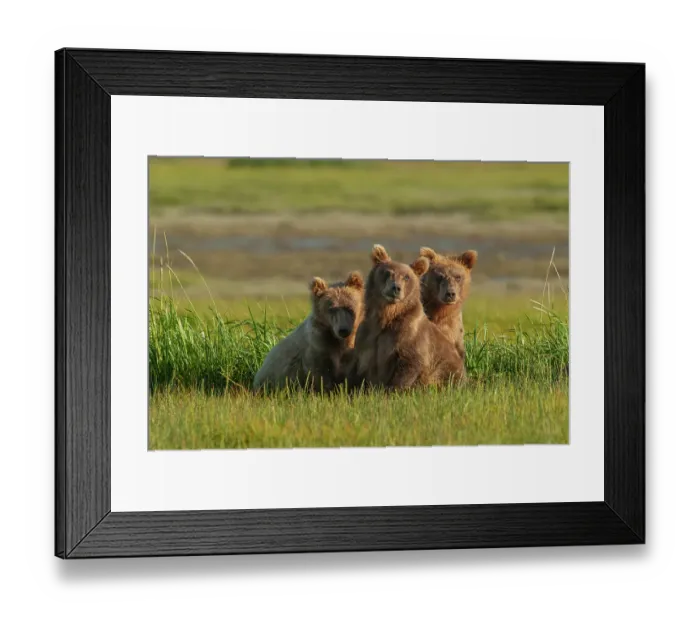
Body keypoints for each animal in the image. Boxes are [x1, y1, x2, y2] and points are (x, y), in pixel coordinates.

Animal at [348, 245, 466, 391]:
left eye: (406, 277)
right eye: (387, 273)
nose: (396, 288)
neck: (387, 315)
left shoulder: (409, 334)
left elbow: (410, 363)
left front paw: (392, 390)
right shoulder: (367, 336)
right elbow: (359, 367)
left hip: (448, 369)